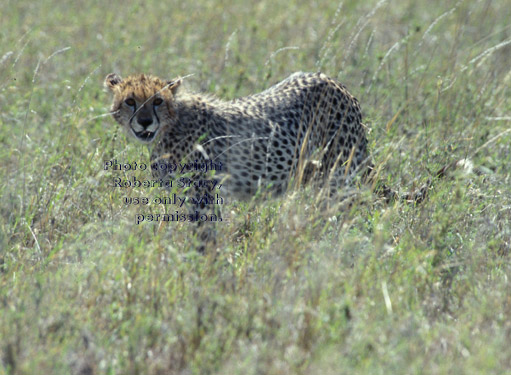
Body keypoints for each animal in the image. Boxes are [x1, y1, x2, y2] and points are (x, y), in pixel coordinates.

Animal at [103, 71, 372, 200]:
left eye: (157, 101)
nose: (145, 121)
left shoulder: (202, 195)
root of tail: (328, 78)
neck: (171, 126)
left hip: (343, 170)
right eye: (130, 101)